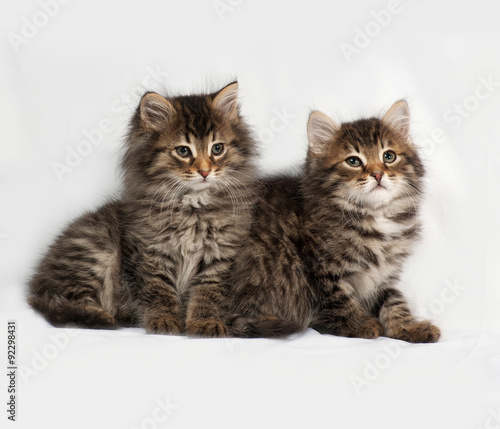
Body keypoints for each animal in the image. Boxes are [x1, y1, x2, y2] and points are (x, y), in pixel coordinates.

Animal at [29, 80, 258, 336]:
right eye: (183, 151)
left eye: (217, 149)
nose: (205, 171)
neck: (192, 207)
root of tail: (39, 276)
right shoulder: (151, 253)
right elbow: (159, 291)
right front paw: (164, 320)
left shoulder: (219, 256)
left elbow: (208, 293)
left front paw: (204, 322)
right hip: (95, 251)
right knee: (64, 300)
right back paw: (101, 316)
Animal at [229, 99, 440, 342]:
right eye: (353, 161)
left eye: (389, 156)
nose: (378, 174)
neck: (373, 216)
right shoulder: (320, 269)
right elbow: (340, 300)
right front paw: (361, 324)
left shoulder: (385, 274)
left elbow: (394, 300)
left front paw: (408, 326)